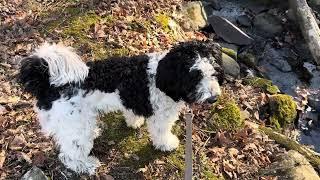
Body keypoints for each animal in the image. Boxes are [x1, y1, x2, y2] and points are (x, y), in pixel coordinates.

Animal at [17, 40, 222, 174]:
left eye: (214, 72)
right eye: (195, 75)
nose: (213, 98)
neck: (162, 75)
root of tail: (48, 85)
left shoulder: (133, 101)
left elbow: (132, 113)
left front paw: (135, 122)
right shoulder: (161, 117)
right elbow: (161, 133)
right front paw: (167, 144)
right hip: (76, 126)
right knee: (69, 155)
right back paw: (85, 165)